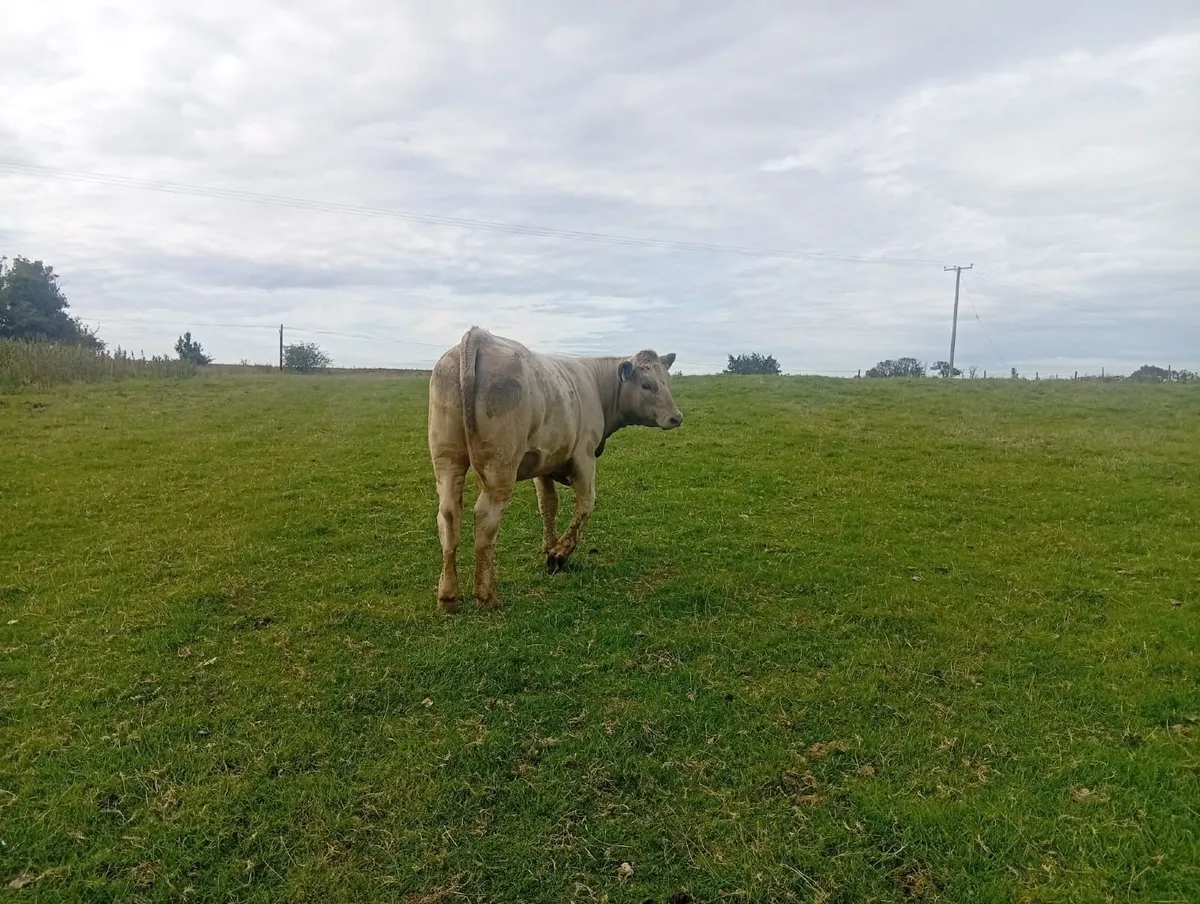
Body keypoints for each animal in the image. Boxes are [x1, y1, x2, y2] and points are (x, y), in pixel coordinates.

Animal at [427, 326, 684, 611]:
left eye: (667, 381)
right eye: (647, 385)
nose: (676, 417)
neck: (597, 386)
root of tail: (479, 336)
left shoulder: (544, 462)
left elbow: (548, 505)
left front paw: (549, 546)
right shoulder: (584, 456)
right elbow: (585, 505)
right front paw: (559, 554)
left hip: (447, 459)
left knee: (448, 515)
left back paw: (447, 596)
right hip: (500, 468)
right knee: (485, 519)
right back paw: (486, 596)